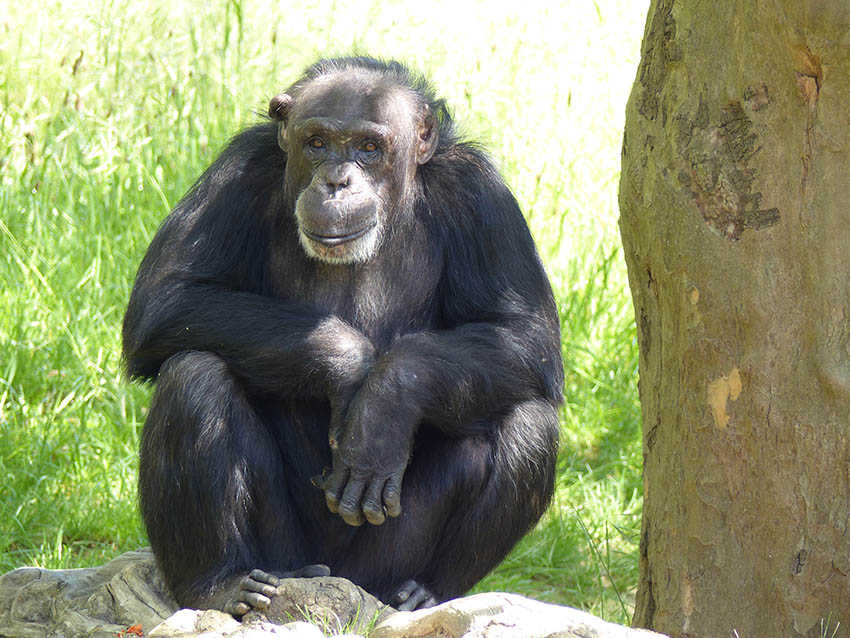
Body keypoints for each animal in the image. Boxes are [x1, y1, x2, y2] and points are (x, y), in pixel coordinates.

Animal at [122, 57, 560, 616]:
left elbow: (524, 333)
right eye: (317, 142)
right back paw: (219, 584)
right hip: (285, 554)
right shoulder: (239, 170)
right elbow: (167, 297)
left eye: (369, 147)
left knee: (531, 421)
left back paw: (426, 593)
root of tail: (341, 586)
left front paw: (383, 404)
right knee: (193, 377)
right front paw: (349, 365)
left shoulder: (483, 196)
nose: (336, 180)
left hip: (380, 564)